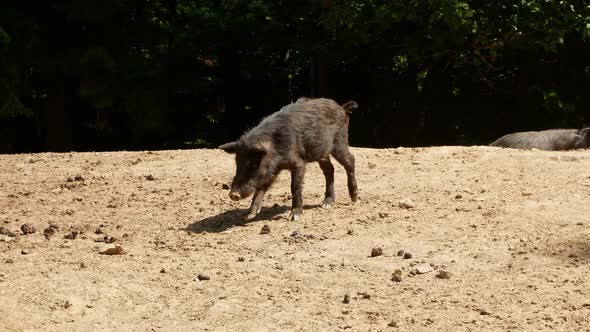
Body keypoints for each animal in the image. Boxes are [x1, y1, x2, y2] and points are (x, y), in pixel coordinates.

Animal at [221, 98, 360, 220]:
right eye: (237, 164)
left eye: (253, 164)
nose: (233, 194)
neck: (276, 148)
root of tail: (342, 108)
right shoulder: (273, 170)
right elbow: (262, 186)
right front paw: (248, 215)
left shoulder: (298, 163)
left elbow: (295, 186)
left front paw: (294, 216)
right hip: (321, 152)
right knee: (329, 169)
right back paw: (326, 204)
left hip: (339, 141)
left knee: (350, 161)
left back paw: (354, 199)